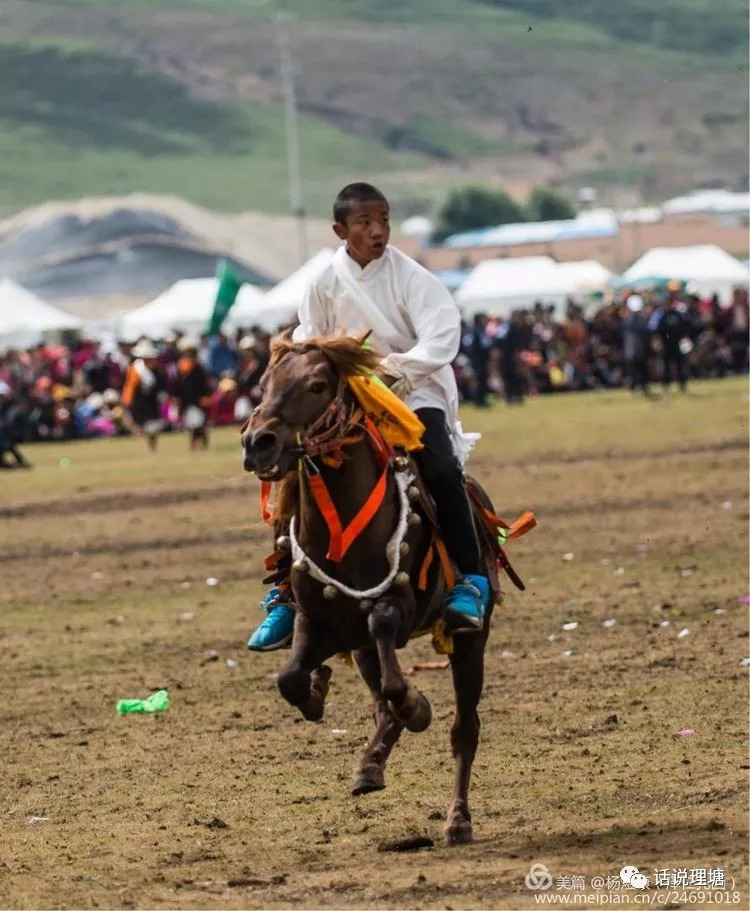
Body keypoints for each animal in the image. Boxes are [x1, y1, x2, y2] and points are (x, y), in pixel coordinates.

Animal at [244, 334, 516, 848]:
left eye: (317, 384)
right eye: (263, 382)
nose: (257, 443)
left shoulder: (394, 606)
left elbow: (395, 681)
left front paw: (418, 707)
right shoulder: (317, 620)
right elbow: (290, 680)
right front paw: (316, 691)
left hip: (471, 641)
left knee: (463, 729)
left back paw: (457, 818)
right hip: (360, 646)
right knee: (380, 708)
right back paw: (369, 765)